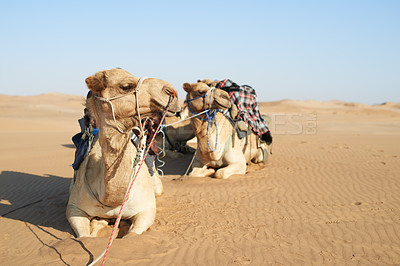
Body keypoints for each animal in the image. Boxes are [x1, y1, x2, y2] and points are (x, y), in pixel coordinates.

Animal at [66, 68, 179, 237]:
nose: (172, 91)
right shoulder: (74, 208)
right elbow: (84, 236)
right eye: (126, 86)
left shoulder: (147, 210)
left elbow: (131, 235)